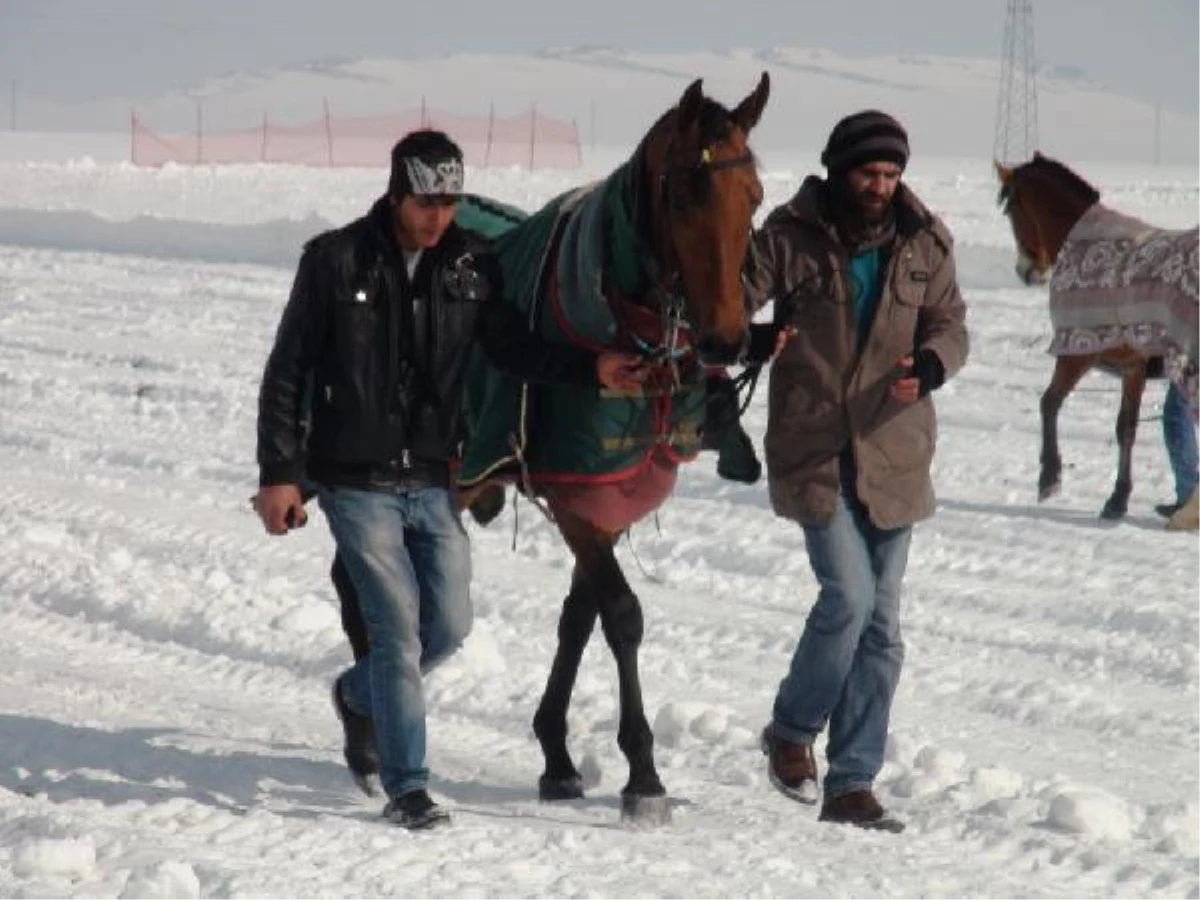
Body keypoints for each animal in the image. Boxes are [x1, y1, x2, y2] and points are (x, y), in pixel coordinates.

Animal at [451, 77, 768, 825]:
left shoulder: (610, 501)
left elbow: (579, 618)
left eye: (756, 196)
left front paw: (557, 752)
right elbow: (621, 615)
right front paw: (642, 769)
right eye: (684, 196)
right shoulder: (574, 500)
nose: (727, 338)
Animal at [993, 154, 1171, 520]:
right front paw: (1119, 497)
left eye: (1011, 209)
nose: (1025, 271)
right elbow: (1126, 428)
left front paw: (1049, 476)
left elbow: (1049, 402)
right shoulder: (1132, 367)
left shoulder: (1077, 354)